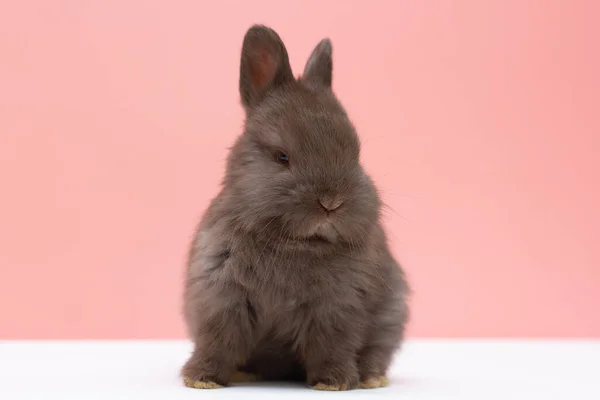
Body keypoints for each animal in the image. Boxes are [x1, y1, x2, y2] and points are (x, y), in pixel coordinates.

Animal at [182, 24, 408, 390]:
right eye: (282, 156)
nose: (331, 202)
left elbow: (332, 346)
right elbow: (217, 340)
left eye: (356, 153)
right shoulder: (222, 296)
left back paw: (372, 379)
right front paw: (201, 379)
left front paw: (333, 382)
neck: (294, 242)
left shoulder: (336, 308)